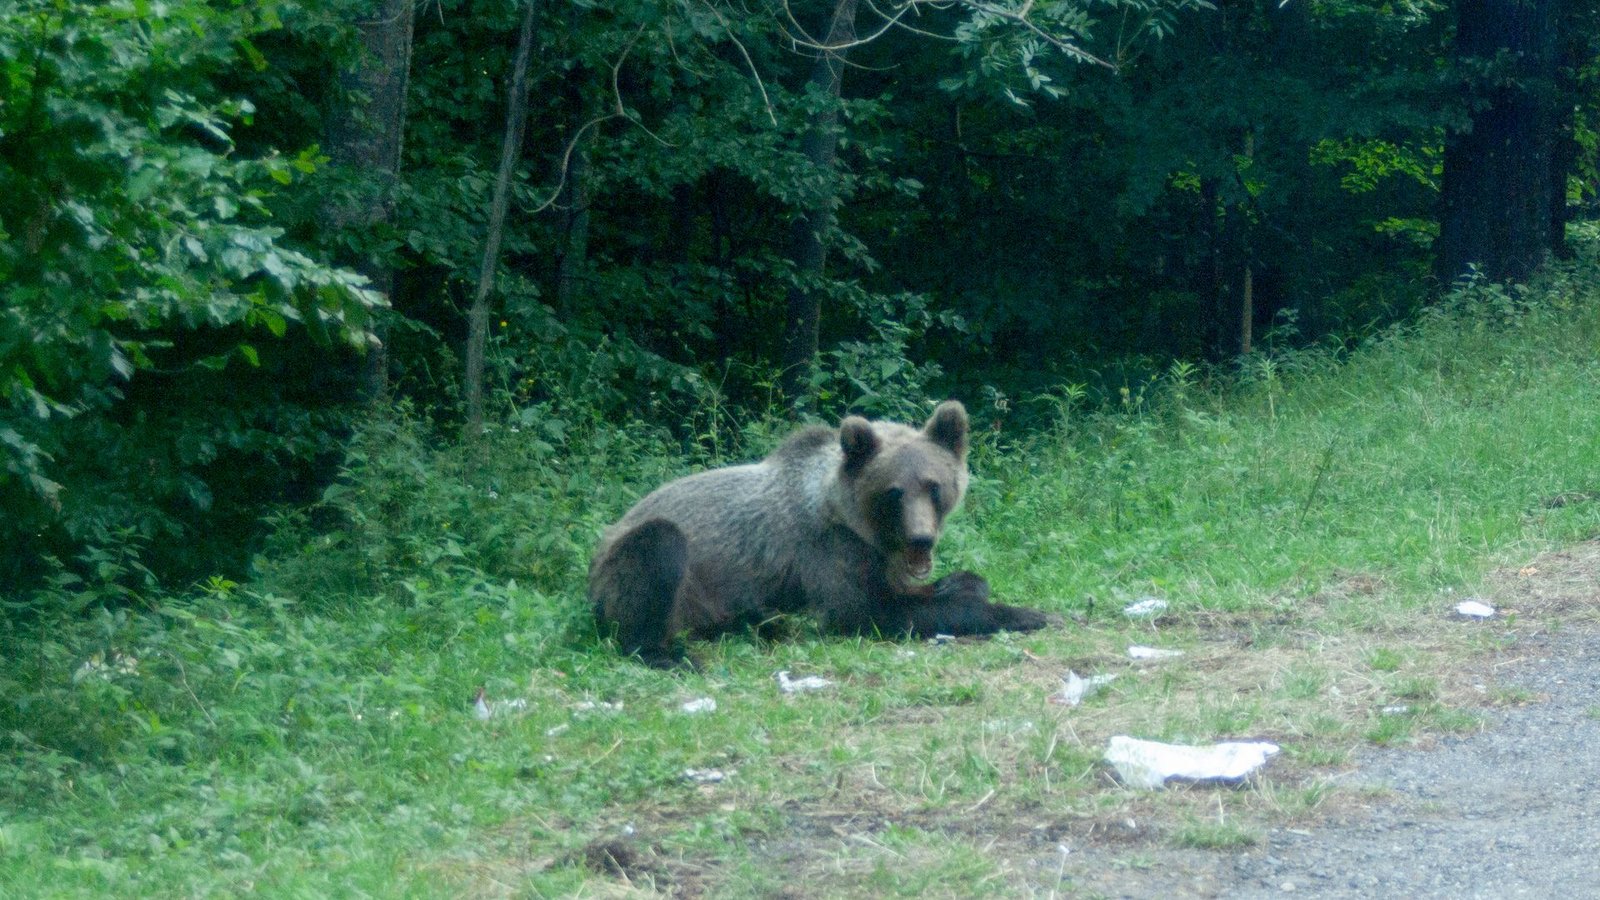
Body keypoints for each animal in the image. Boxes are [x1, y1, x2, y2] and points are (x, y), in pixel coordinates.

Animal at [588, 400, 1050, 667]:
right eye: (894, 492)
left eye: (933, 486)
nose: (920, 539)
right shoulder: (827, 552)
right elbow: (867, 611)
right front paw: (1028, 614)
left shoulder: (880, 558)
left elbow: (915, 590)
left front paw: (964, 583)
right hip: (650, 575)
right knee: (657, 552)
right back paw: (671, 655)